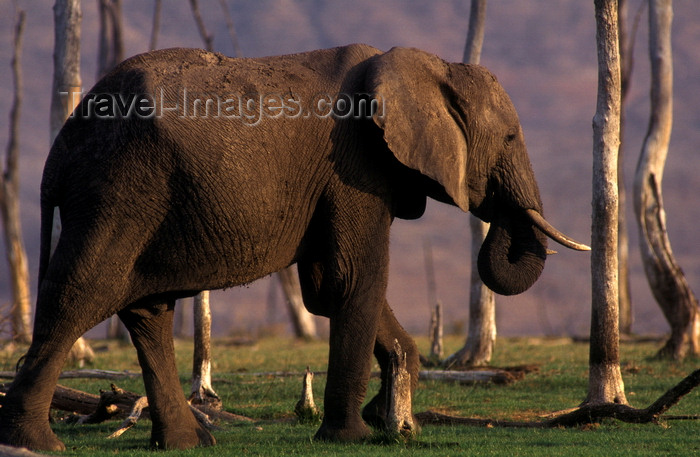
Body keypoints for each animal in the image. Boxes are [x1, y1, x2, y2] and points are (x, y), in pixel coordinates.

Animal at [0, 44, 592, 450]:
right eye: (511, 138)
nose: (497, 213)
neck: (426, 63)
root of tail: (59, 149)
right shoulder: (353, 169)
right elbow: (354, 279)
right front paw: (354, 436)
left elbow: (328, 291)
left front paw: (394, 421)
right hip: (119, 188)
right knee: (80, 292)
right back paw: (37, 444)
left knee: (147, 310)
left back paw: (188, 444)